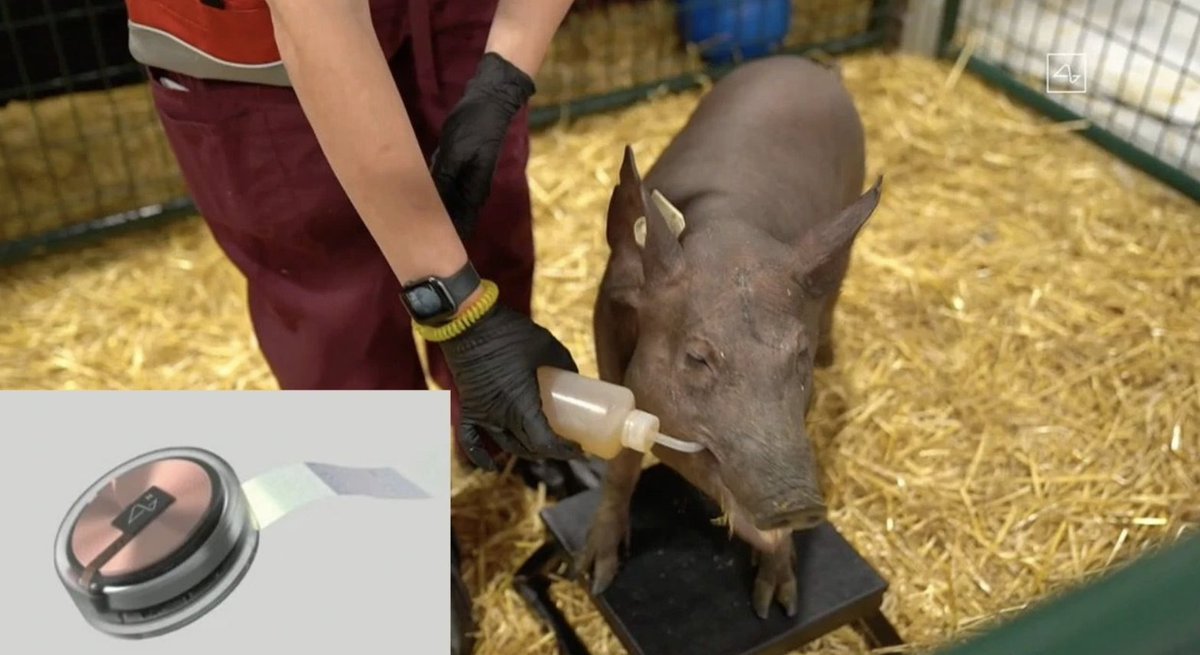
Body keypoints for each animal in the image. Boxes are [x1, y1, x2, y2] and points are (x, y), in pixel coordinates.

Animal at [579, 55, 883, 619]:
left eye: (798, 354)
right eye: (697, 357)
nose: (798, 502)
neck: (730, 228)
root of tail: (807, 66)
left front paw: (776, 606)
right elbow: (623, 462)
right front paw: (597, 575)